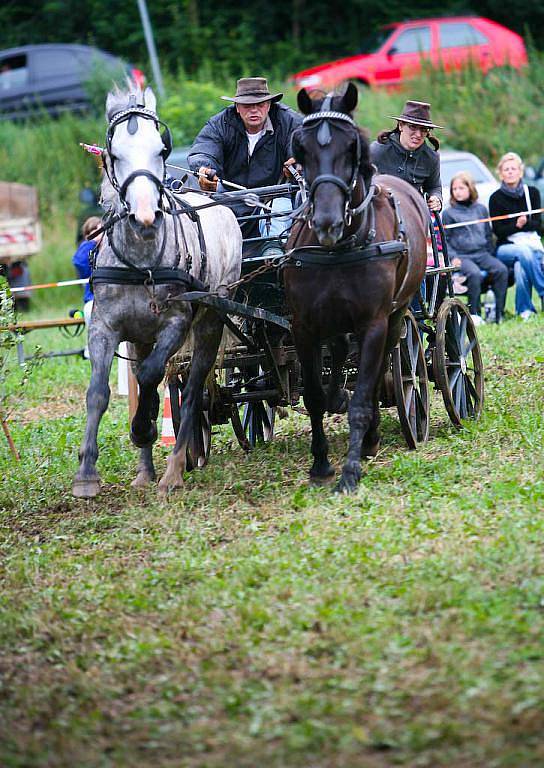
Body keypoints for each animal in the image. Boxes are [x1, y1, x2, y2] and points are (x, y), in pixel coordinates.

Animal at [71, 87, 240, 496]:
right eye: (115, 153)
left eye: (161, 150)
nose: (146, 217)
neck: (142, 261)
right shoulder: (104, 327)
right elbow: (98, 393)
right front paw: (86, 473)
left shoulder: (176, 323)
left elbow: (151, 377)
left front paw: (143, 427)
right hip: (139, 336)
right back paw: (146, 471)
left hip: (209, 320)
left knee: (193, 391)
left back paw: (173, 471)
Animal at [284, 84, 430, 492]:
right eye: (302, 149)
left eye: (351, 147)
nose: (327, 222)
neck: (340, 248)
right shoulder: (303, 326)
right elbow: (314, 396)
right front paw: (320, 465)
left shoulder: (373, 324)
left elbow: (365, 396)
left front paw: (350, 471)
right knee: (337, 354)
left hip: (396, 316)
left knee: (381, 371)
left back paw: (371, 438)